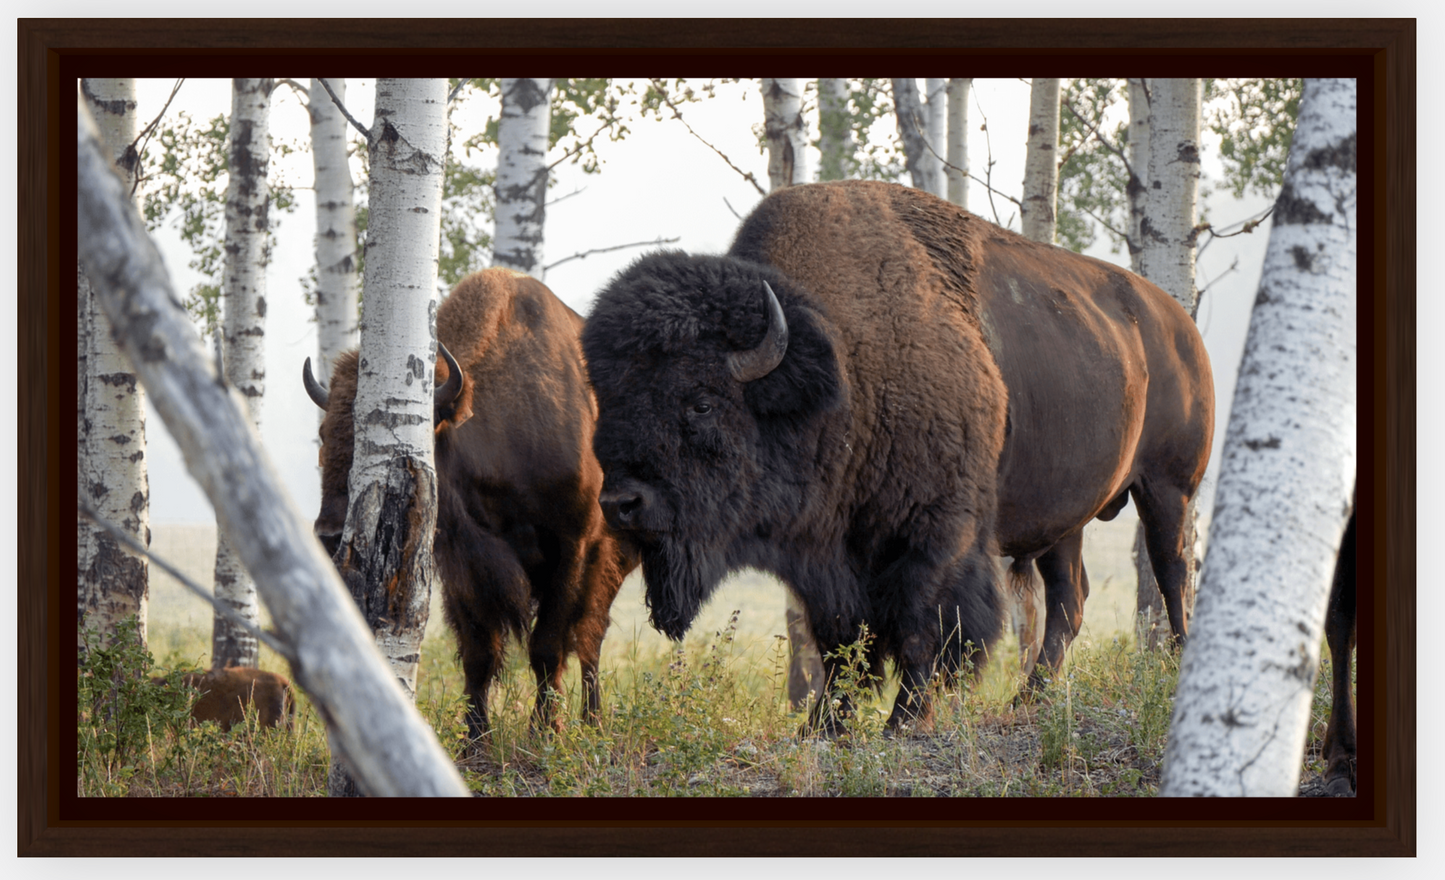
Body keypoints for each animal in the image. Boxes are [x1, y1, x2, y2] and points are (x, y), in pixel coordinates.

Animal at [303, 268, 632, 739]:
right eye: (325, 434)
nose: (329, 535)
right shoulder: (460, 563)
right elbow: (480, 653)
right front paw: (474, 739)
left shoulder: (573, 547)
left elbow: (548, 646)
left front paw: (544, 731)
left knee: (590, 636)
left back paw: (592, 720)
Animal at [580, 179, 1213, 728]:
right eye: (607, 399)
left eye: (702, 403)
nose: (620, 503)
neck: (842, 365)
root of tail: (1180, 323)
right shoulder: (829, 557)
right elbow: (840, 643)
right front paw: (824, 726)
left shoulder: (936, 534)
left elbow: (923, 626)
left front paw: (905, 720)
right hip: (1066, 519)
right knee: (1069, 600)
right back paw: (1026, 701)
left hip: (1168, 488)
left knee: (1172, 571)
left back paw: (1177, 668)